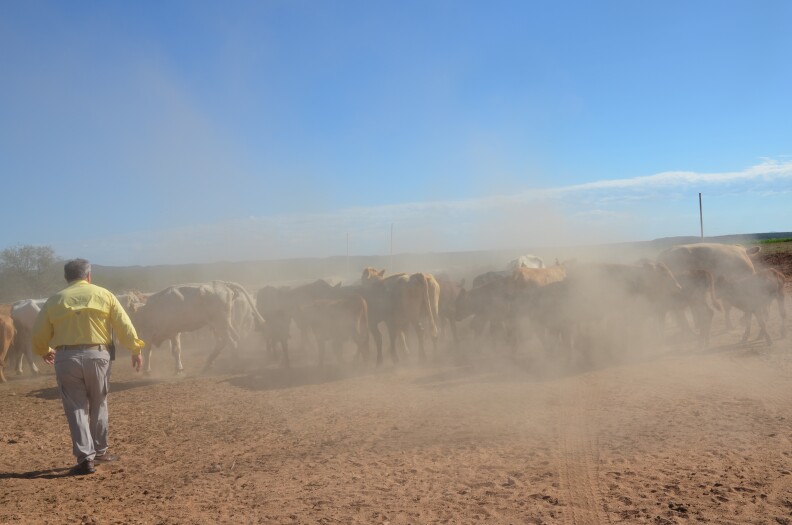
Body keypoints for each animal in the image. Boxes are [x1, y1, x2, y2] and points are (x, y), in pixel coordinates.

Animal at [132, 281, 266, 374]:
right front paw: (179, 369)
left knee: (231, 342)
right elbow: (176, 351)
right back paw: (208, 363)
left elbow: (147, 352)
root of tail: (222, 283)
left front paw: (146, 371)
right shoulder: (174, 332)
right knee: (228, 340)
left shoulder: (149, 335)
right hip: (222, 324)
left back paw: (232, 365)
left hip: (220, 324)